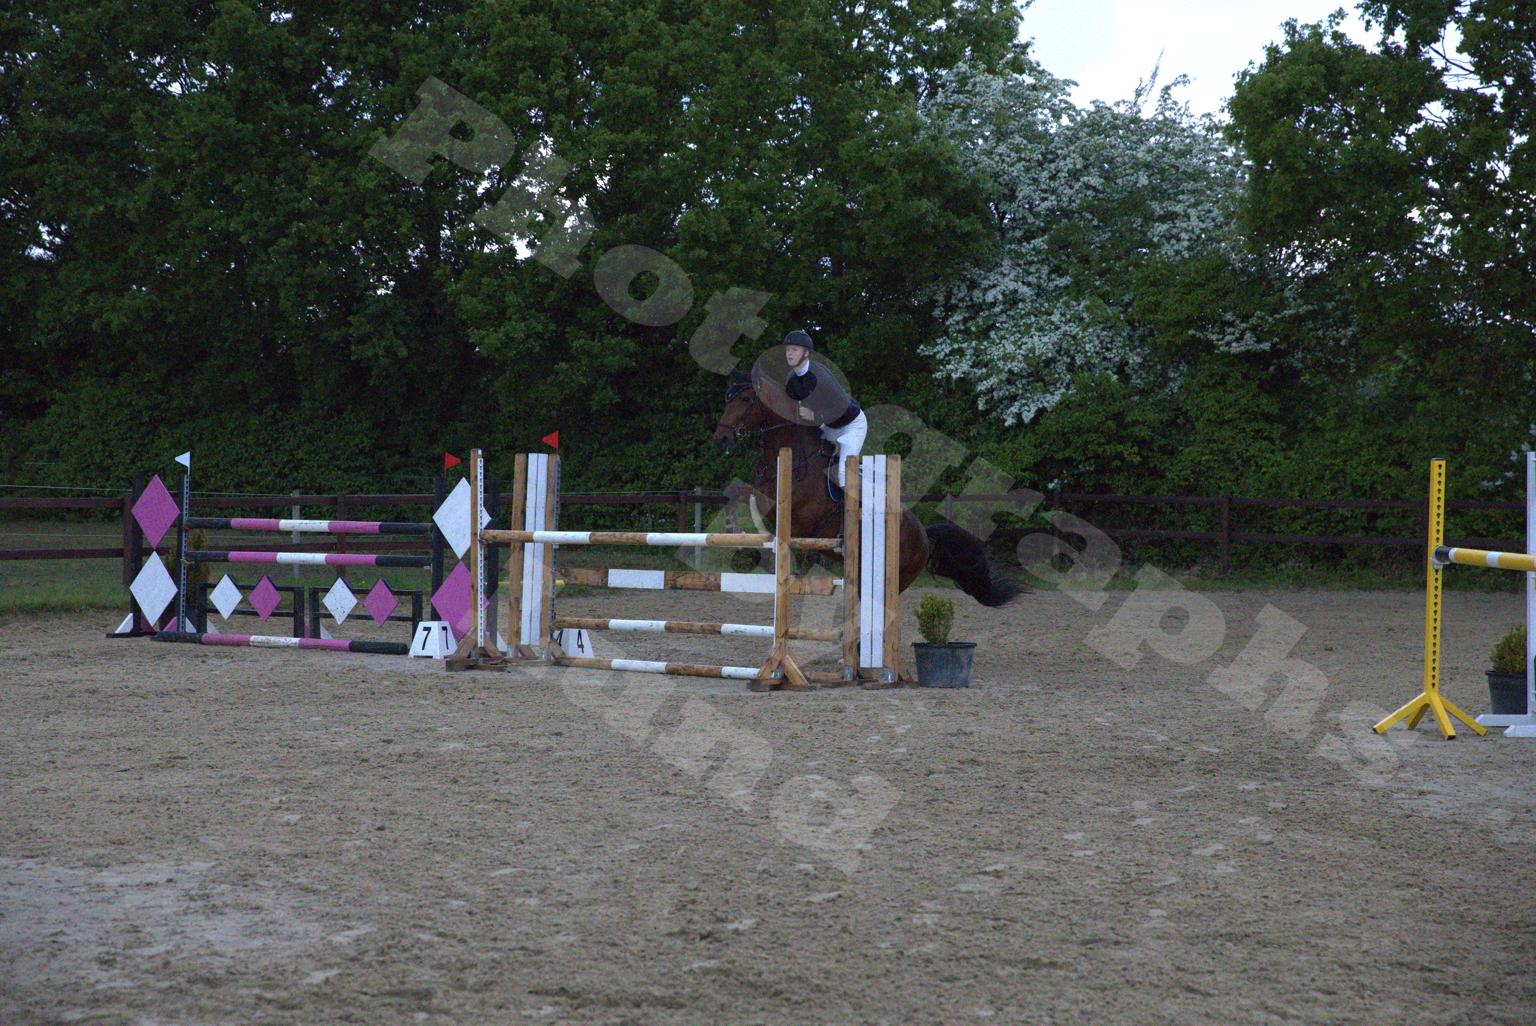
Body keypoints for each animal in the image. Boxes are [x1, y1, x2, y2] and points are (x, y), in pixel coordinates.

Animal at [712, 370, 1020, 607]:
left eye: (746, 400)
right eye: (727, 399)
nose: (721, 439)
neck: (796, 456)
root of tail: (923, 533)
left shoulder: (794, 513)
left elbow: (763, 506)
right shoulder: (759, 489)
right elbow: (736, 494)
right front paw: (736, 532)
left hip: (894, 578)